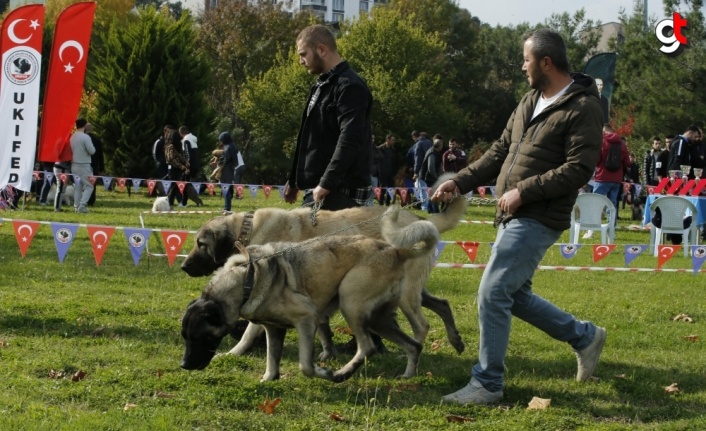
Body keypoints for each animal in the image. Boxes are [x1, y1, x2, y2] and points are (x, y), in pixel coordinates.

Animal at [180, 215, 440, 382]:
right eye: (185, 337)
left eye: (200, 337)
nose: (184, 365)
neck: (247, 279)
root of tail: (396, 250)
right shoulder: (273, 329)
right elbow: (271, 360)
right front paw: (269, 379)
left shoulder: (306, 320)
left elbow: (305, 365)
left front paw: (322, 372)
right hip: (379, 319)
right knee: (412, 345)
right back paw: (407, 375)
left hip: (351, 302)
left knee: (367, 347)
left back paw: (342, 374)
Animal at [183, 191, 468, 360]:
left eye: (201, 244)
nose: (184, 267)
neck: (247, 230)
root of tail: (420, 218)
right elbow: (322, 327)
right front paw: (327, 352)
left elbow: (251, 331)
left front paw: (235, 351)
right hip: (412, 291)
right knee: (442, 305)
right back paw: (455, 341)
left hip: (406, 295)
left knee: (422, 325)